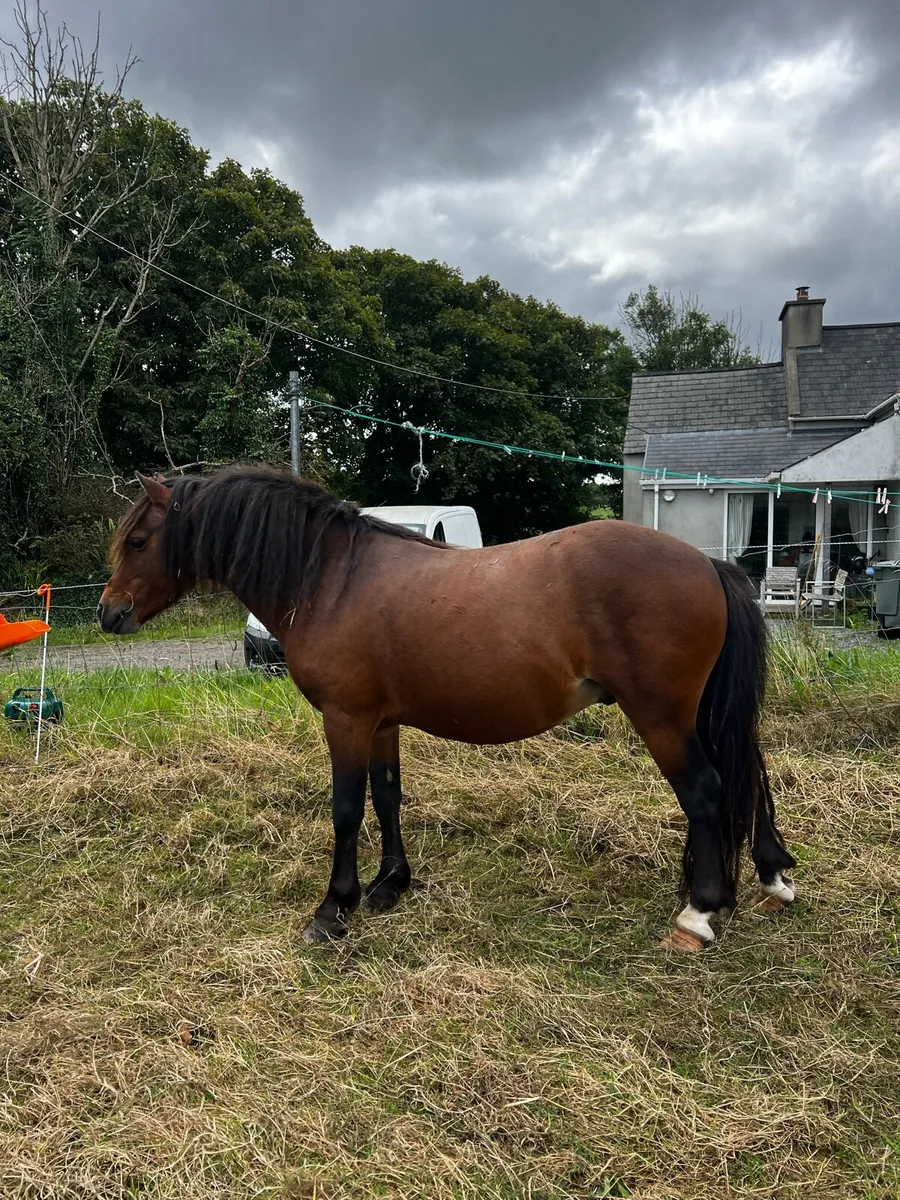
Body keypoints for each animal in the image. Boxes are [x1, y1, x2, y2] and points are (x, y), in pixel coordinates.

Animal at [99, 466, 796, 951]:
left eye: (138, 541)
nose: (109, 614)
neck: (330, 580)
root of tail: (706, 564)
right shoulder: (380, 722)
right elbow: (387, 797)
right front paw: (390, 885)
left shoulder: (345, 720)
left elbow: (347, 809)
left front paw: (334, 909)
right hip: (700, 715)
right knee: (748, 777)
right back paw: (772, 877)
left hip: (663, 718)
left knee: (706, 792)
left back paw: (699, 914)